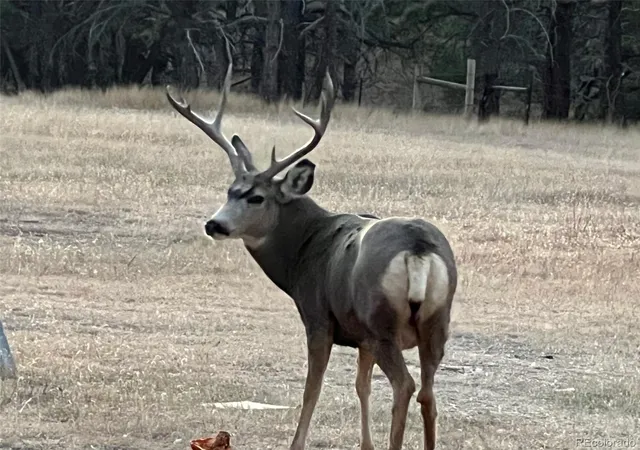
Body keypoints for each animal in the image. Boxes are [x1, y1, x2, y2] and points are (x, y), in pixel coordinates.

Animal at [166, 63, 457, 450]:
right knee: (428, 394)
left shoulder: (318, 316)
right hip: (436, 322)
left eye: (256, 197)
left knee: (404, 385)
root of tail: (419, 247)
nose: (214, 224)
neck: (304, 251)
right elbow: (361, 386)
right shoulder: (361, 337)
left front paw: (297, 443)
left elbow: (312, 389)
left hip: (381, 320)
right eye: (229, 190)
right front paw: (365, 444)